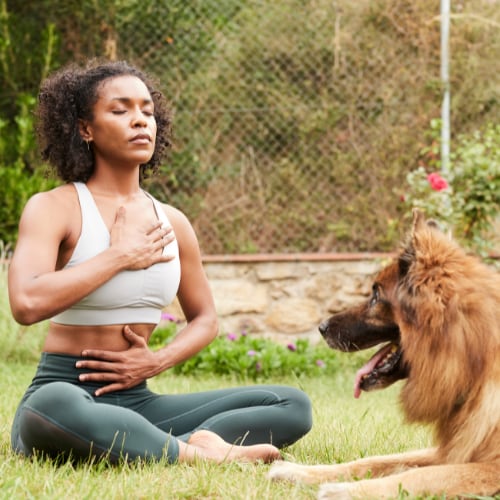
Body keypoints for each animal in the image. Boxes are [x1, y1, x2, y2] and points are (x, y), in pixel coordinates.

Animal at [270, 211, 500, 500]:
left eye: (375, 296)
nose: (321, 327)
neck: (476, 361)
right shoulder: (454, 448)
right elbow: (375, 460)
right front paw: (297, 471)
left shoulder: (489, 466)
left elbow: (421, 475)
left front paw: (345, 490)